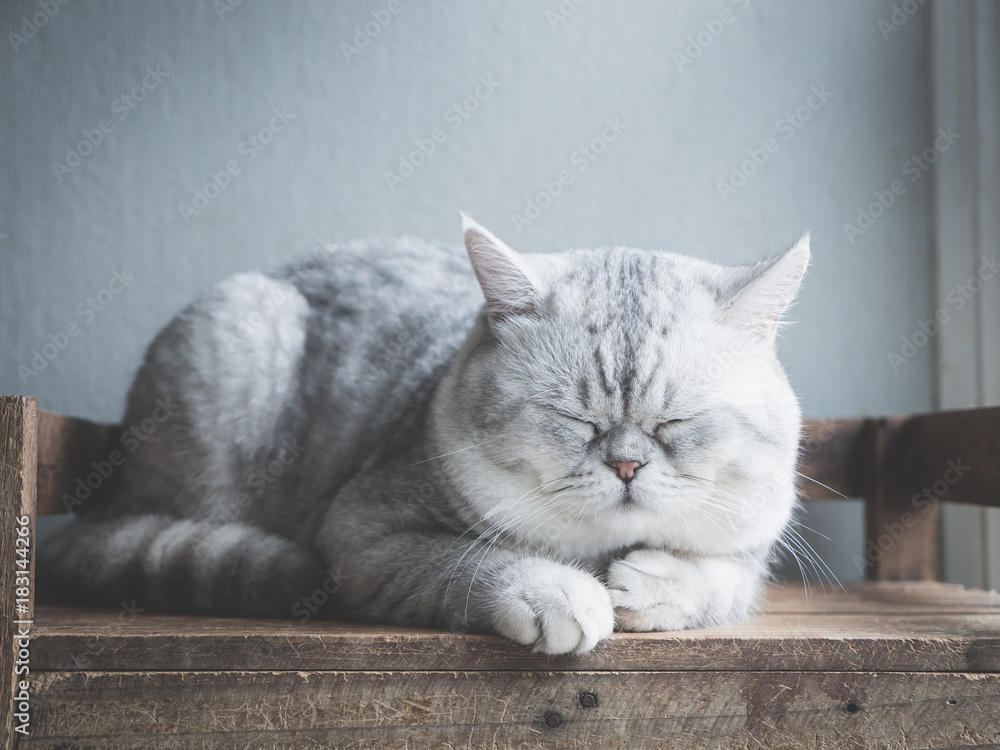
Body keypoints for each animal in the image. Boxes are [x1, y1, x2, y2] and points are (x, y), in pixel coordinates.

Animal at [37, 214, 812, 656]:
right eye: (574, 419)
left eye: (675, 421)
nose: (626, 465)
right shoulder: (368, 537)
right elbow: (477, 564)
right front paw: (561, 594)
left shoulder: (750, 550)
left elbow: (719, 581)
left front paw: (652, 583)